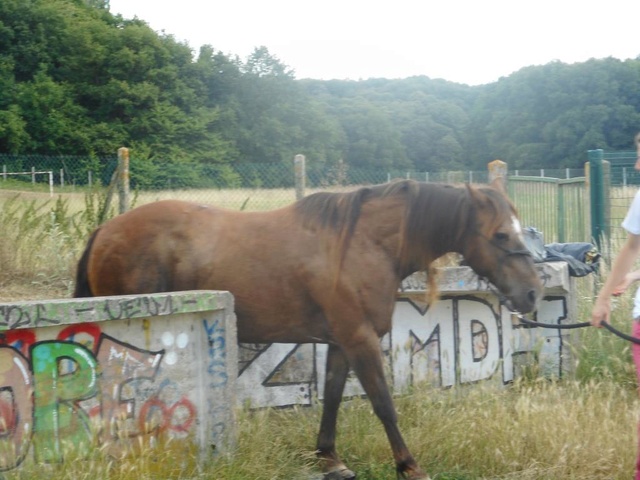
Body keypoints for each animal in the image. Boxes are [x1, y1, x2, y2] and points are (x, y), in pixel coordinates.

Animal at [76, 179, 544, 480]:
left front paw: (329, 459)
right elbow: (383, 404)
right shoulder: (360, 340)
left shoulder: (340, 342)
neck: (363, 243)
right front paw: (409, 465)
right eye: (501, 234)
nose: (532, 293)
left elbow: (333, 397)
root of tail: (105, 230)